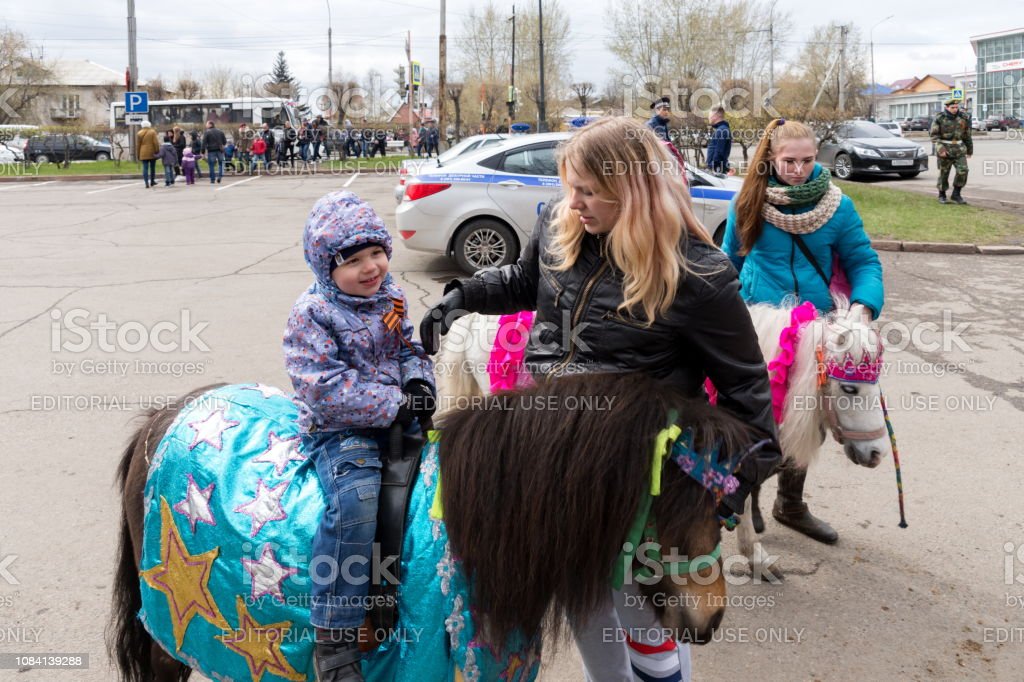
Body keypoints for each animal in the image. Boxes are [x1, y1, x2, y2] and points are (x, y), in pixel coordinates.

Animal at [108, 374, 757, 675]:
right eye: (682, 504)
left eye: (723, 507)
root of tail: (167, 416)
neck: (469, 529)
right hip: (168, 640)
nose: (713, 615)